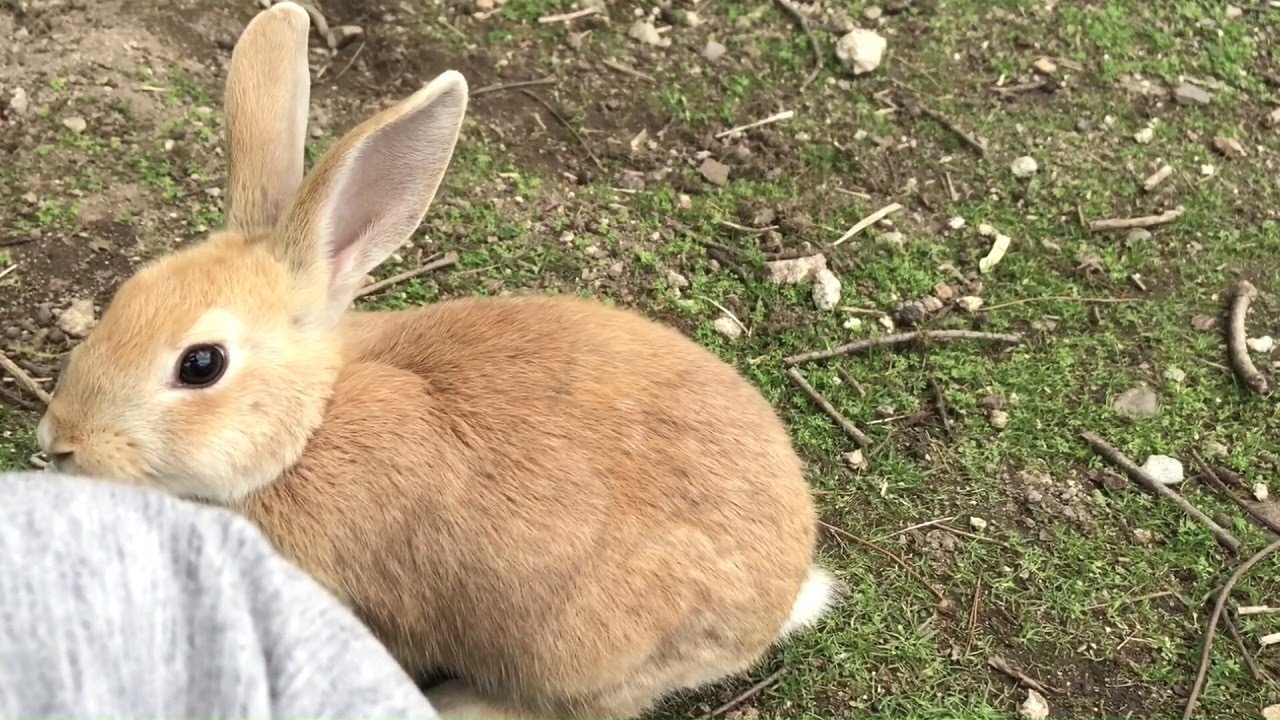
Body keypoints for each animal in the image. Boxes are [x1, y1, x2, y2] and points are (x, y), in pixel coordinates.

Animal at [34, 3, 840, 718]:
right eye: (128, 293)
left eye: (200, 365)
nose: (61, 441)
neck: (308, 429)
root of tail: (780, 598)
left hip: (577, 648)